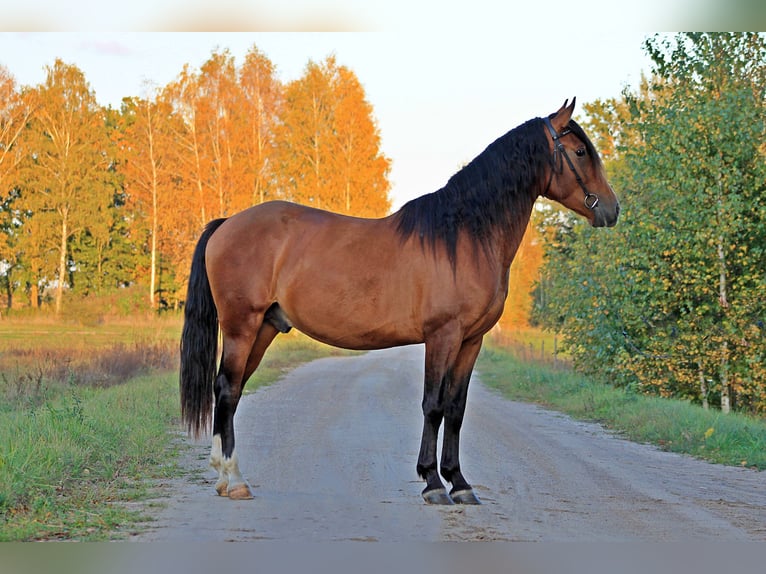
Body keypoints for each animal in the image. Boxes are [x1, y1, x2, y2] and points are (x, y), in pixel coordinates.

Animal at [178, 100, 616, 508]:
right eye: (580, 152)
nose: (612, 210)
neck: (465, 235)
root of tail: (227, 223)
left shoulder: (471, 341)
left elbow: (456, 408)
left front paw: (460, 483)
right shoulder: (443, 335)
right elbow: (433, 405)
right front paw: (433, 482)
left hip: (266, 326)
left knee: (231, 389)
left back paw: (224, 477)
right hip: (242, 325)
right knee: (227, 388)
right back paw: (234, 479)